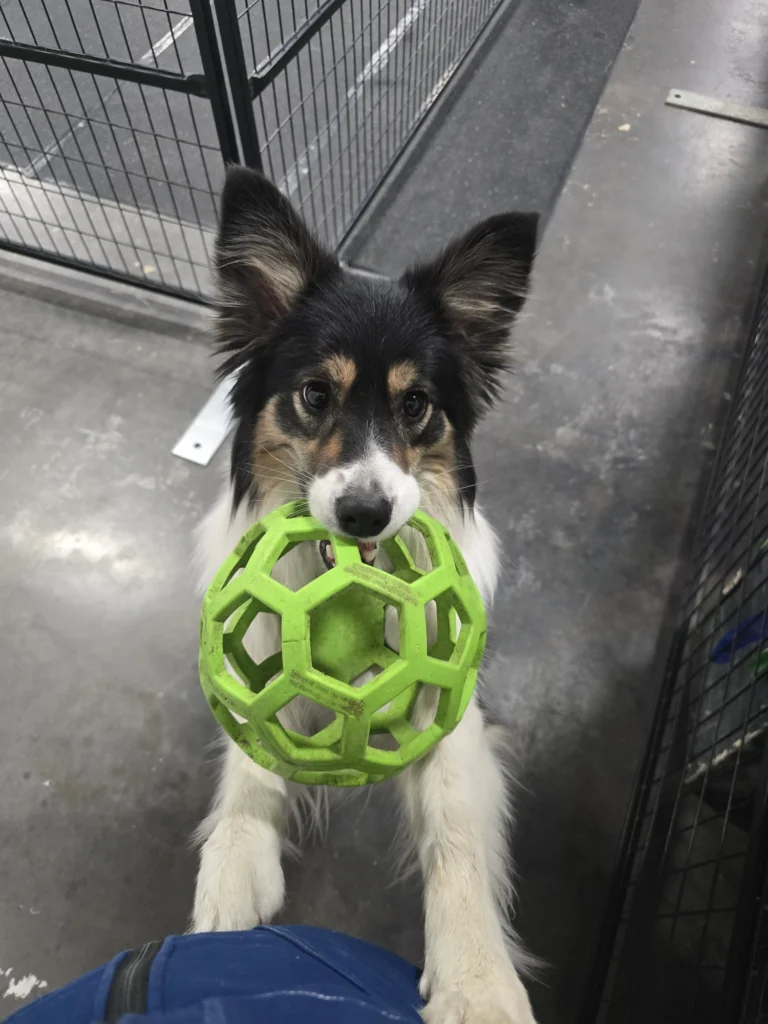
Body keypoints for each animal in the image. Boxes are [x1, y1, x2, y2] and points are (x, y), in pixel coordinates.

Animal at [192, 167, 539, 1024]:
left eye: (416, 405)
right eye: (315, 395)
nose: (364, 514)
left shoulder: (453, 698)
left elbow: (453, 819)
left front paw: (477, 979)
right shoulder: (254, 654)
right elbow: (251, 750)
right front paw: (233, 864)